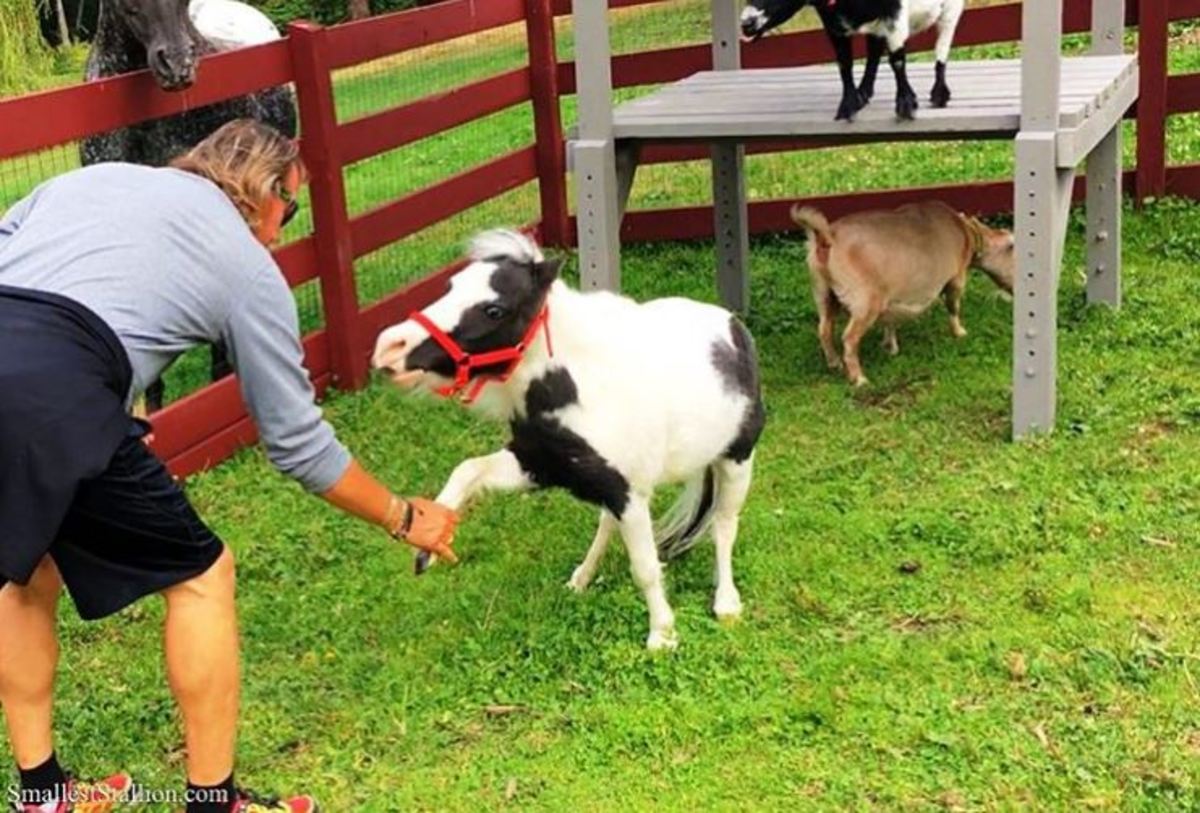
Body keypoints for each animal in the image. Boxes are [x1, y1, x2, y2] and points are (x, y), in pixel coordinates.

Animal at [374, 229, 768, 647]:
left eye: (495, 310)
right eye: (449, 286)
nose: (389, 348)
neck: (581, 389)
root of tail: (732, 325)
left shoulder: (626, 492)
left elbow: (645, 566)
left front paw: (662, 635)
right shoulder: (541, 465)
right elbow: (468, 469)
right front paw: (427, 545)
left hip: (737, 459)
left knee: (723, 524)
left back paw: (726, 603)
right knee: (610, 522)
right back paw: (580, 578)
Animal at [739, 0, 964, 122]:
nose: (746, 24)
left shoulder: (894, 16)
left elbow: (897, 59)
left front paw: (906, 105)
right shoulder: (833, 26)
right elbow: (844, 64)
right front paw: (848, 106)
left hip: (951, 8)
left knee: (943, 42)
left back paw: (939, 93)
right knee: (874, 51)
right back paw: (864, 93)